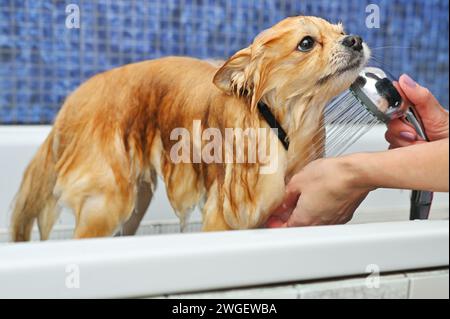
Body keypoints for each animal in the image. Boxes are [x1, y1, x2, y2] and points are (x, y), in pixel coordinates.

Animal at [9, 15, 370, 240]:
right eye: (307, 43)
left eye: (340, 31)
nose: (355, 39)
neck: (283, 123)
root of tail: (72, 104)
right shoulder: (223, 215)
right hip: (106, 202)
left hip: (136, 199)